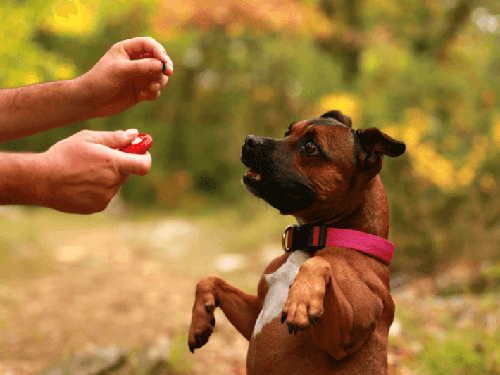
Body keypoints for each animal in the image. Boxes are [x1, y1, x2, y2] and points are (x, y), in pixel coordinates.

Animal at [188, 111, 406, 375]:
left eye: (311, 147)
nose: (250, 140)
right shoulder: (253, 314)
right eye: (288, 131)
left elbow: (318, 264)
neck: (316, 237)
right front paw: (200, 320)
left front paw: (302, 299)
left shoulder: (343, 338)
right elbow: (210, 279)